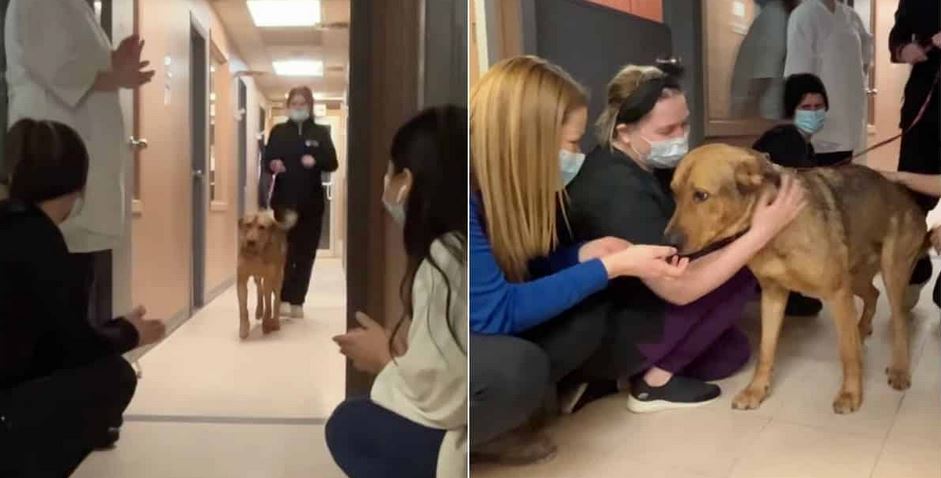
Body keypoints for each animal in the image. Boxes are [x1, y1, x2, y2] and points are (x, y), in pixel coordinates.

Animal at [234, 210, 294, 340]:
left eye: (262, 227)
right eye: (248, 225)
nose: (251, 242)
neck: (255, 254)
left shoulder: (269, 278)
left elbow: (269, 303)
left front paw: (267, 324)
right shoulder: (241, 279)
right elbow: (243, 308)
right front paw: (244, 328)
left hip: (278, 277)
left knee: (276, 299)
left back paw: (275, 322)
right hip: (257, 277)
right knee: (259, 289)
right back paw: (259, 310)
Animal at [668, 144, 924, 412]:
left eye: (701, 195)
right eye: (674, 194)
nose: (669, 242)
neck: (775, 229)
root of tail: (906, 197)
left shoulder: (837, 293)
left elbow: (847, 352)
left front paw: (851, 393)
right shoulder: (773, 294)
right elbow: (766, 350)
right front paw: (756, 390)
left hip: (891, 273)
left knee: (899, 321)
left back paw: (899, 368)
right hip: (854, 277)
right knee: (873, 295)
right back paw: (862, 329)